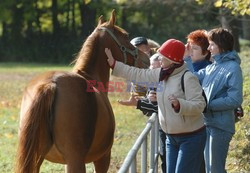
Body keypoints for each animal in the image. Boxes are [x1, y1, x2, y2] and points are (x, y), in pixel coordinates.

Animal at [16, 10, 149, 173]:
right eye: (125, 36)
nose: (146, 59)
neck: (90, 76)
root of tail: (50, 85)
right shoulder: (103, 157)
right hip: (76, 160)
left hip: (36, 159)